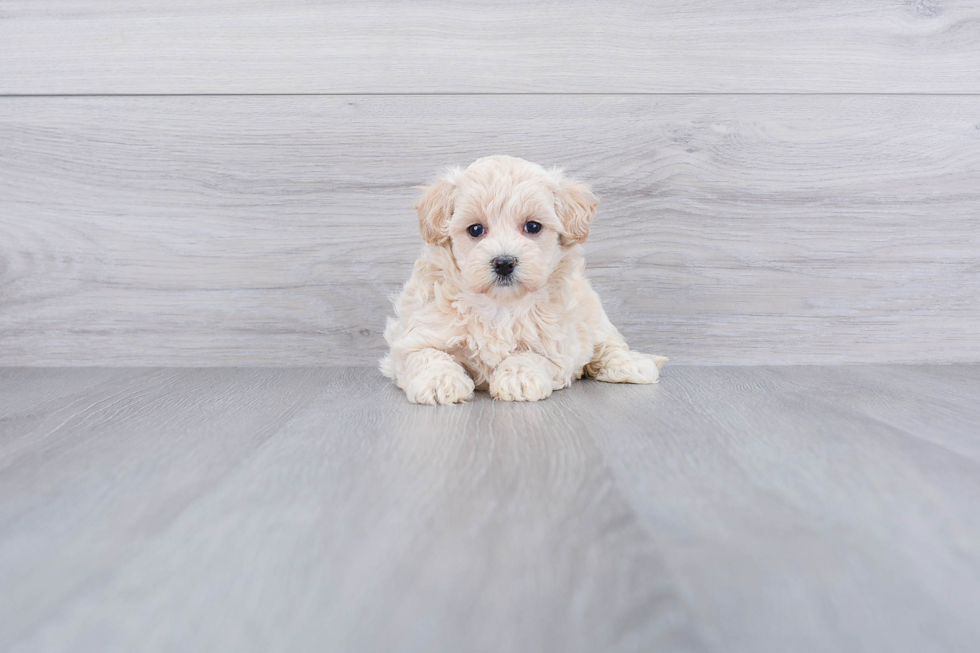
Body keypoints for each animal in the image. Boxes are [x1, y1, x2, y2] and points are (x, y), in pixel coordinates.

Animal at [378, 157, 668, 402]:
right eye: (475, 229)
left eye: (532, 226)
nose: (504, 263)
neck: (500, 305)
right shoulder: (416, 337)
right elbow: (427, 355)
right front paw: (439, 381)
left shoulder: (555, 347)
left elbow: (529, 356)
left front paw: (518, 378)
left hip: (595, 317)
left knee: (608, 344)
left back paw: (631, 365)